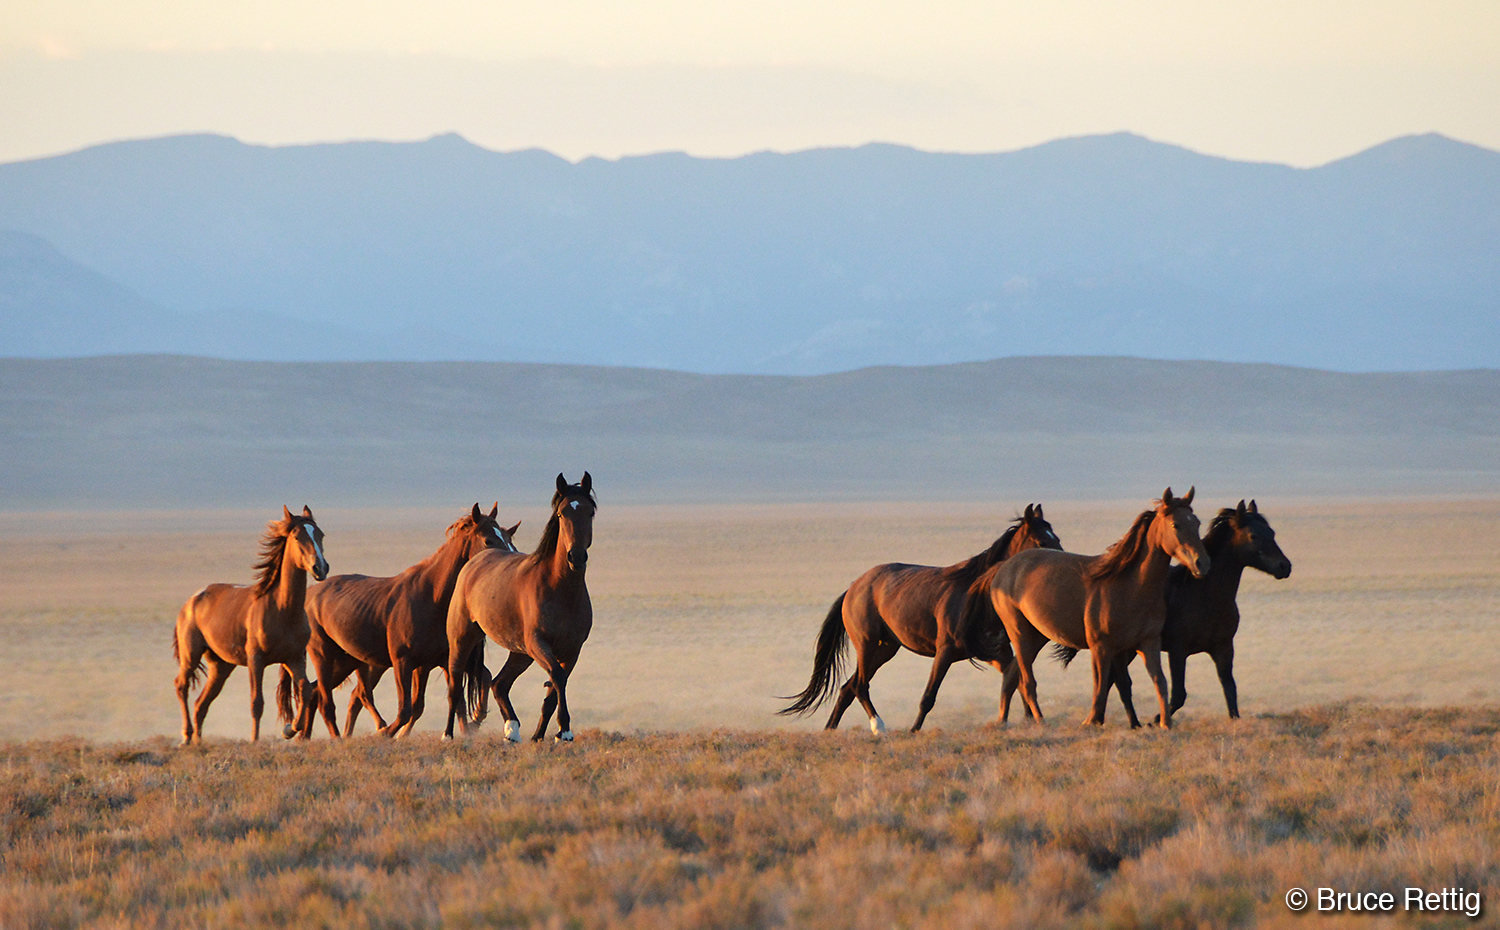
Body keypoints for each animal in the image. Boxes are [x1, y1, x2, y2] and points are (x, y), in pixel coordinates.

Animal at [172, 505, 329, 745]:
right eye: (297, 536)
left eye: (320, 534)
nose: (320, 567)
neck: (282, 609)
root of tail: (192, 600)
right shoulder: (256, 660)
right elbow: (257, 702)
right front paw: (255, 740)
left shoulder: (294, 658)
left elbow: (305, 690)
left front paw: (290, 729)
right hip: (191, 655)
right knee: (181, 686)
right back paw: (186, 737)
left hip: (221, 666)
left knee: (201, 703)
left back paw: (198, 741)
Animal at [296, 503, 520, 738]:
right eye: (488, 540)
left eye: (508, 538)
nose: (508, 562)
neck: (431, 597)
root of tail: (311, 594)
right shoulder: (403, 662)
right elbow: (406, 710)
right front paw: (385, 733)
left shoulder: (431, 663)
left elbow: (437, 702)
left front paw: (468, 728)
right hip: (325, 657)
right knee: (329, 699)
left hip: (346, 662)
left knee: (320, 693)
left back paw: (306, 737)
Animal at [444, 473, 596, 742]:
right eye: (562, 513)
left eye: (590, 512)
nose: (576, 557)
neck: (560, 590)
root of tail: (475, 561)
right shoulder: (538, 643)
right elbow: (557, 677)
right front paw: (564, 730)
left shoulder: (572, 650)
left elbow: (554, 689)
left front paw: (540, 736)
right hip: (463, 639)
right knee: (455, 685)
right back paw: (449, 735)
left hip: (520, 653)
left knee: (499, 684)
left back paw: (512, 730)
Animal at [777, 505, 1063, 734]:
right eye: (1040, 541)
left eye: (1056, 538)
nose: (1058, 565)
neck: (976, 595)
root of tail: (853, 588)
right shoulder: (945, 651)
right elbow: (929, 696)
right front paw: (914, 730)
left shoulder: (997, 652)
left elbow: (1016, 679)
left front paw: (1030, 719)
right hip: (867, 645)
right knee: (859, 686)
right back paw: (878, 727)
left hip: (885, 649)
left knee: (847, 688)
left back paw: (830, 730)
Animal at [961, 488, 1209, 728]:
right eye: (1175, 525)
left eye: (1196, 522)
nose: (1202, 564)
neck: (1129, 585)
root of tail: (1003, 567)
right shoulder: (1101, 647)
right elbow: (1099, 685)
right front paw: (1091, 721)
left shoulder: (1146, 643)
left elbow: (1157, 681)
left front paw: (1164, 724)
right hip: (1020, 634)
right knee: (1027, 679)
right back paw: (1040, 721)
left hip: (1038, 635)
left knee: (1012, 674)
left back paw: (1003, 720)